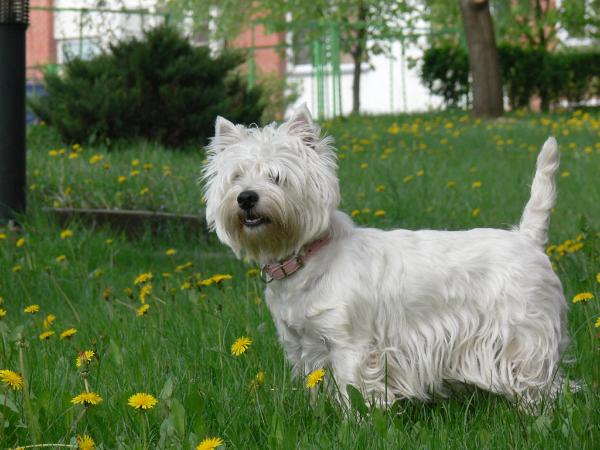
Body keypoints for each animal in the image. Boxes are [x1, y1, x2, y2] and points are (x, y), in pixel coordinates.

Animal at [202, 103, 568, 406]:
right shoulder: (306, 347)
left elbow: (353, 391)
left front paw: (354, 426)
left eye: (278, 177)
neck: (306, 258)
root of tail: (526, 238)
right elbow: (317, 386)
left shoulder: (351, 345)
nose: (246, 198)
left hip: (524, 332)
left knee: (540, 381)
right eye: (236, 177)